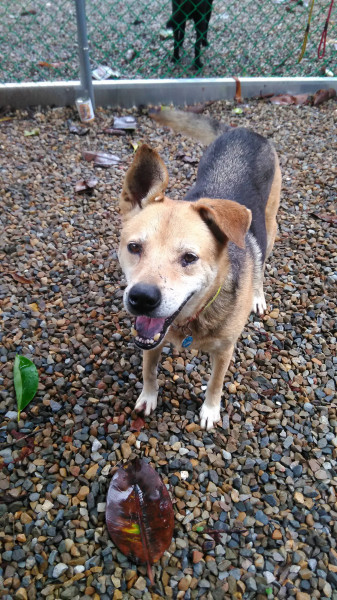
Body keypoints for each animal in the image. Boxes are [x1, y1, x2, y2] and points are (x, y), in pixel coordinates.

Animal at [118, 106, 280, 426]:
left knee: (261, 261)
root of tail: (243, 130)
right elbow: (148, 370)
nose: (141, 298)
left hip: (270, 224)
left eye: (189, 258)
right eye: (134, 247)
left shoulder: (225, 349)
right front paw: (148, 397)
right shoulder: (152, 339)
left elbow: (216, 383)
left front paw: (210, 410)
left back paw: (257, 295)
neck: (189, 320)